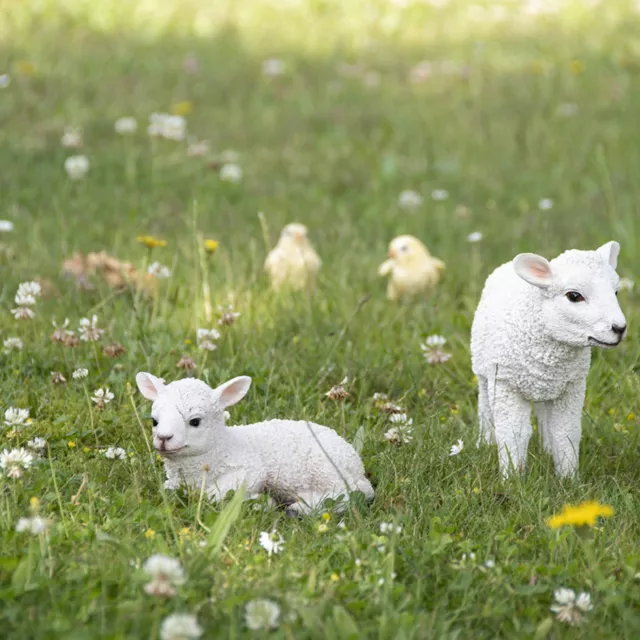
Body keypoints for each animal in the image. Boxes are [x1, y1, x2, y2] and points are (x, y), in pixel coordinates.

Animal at [135, 370, 376, 516]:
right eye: (154, 421)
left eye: (195, 421)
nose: (164, 439)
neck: (220, 448)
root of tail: (357, 464)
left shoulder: (250, 469)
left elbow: (215, 495)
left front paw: (262, 503)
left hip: (326, 467)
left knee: (353, 492)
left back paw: (300, 507)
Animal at [472, 242, 628, 478]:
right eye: (574, 296)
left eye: (616, 292)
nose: (619, 329)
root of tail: (506, 265)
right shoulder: (505, 383)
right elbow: (513, 432)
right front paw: (512, 478)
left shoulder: (571, 386)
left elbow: (566, 431)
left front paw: (568, 478)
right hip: (483, 367)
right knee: (484, 405)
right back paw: (485, 443)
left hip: (547, 387)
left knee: (545, 416)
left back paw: (546, 450)